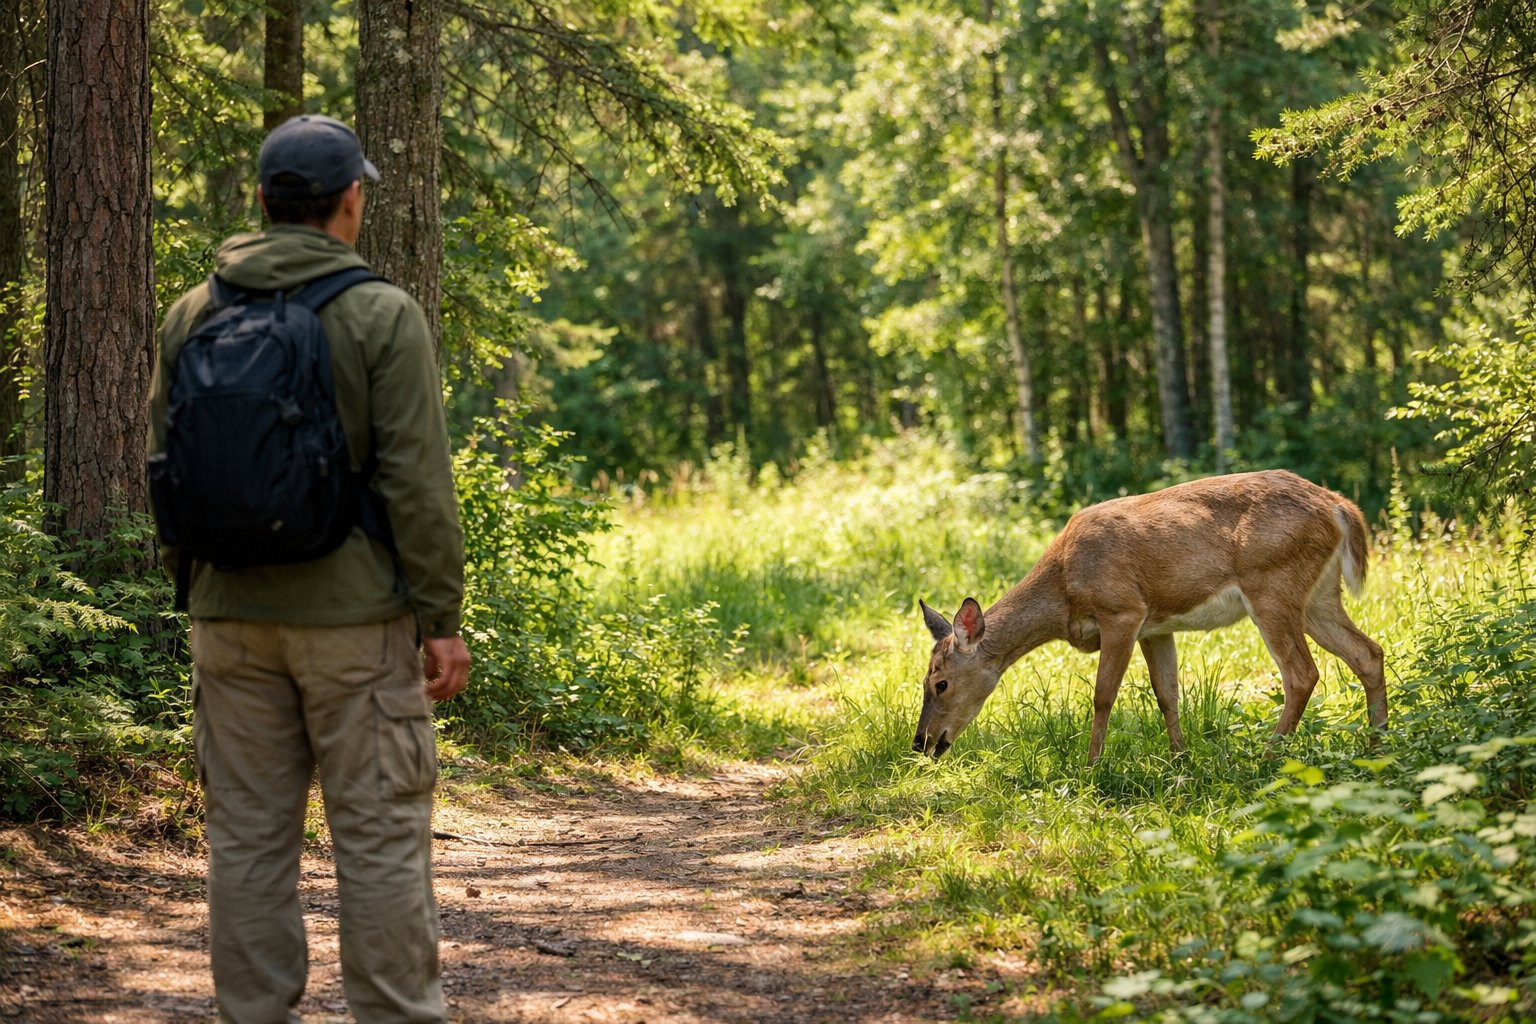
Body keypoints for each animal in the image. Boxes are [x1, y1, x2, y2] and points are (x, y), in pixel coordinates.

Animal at [914, 469, 1387, 762]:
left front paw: (1091, 766)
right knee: (1368, 653)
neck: (1063, 589)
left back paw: (1268, 757)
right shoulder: (1155, 627)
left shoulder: (1123, 611)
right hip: (1319, 597)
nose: (921, 742)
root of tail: (1339, 506)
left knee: (1302, 673)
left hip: (1273, 586)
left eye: (941, 683)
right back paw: (1378, 746)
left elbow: (1103, 695)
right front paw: (1180, 761)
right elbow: (1167, 694)